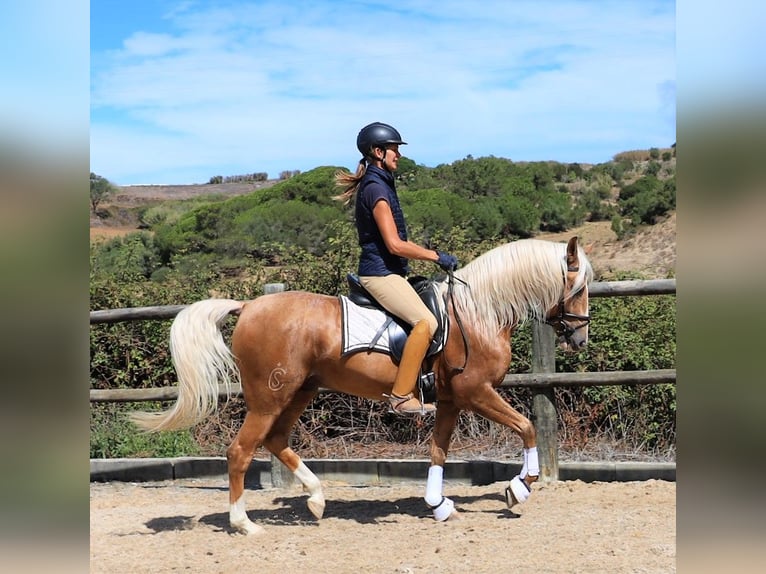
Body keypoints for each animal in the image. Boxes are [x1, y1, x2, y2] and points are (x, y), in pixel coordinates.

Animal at [134, 236, 592, 536]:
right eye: (580, 286)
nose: (581, 338)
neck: (479, 314)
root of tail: (248, 306)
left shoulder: (450, 401)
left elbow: (438, 452)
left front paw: (439, 506)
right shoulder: (476, 392)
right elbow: (527, 427)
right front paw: (520, 488)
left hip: (300, 391)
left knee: (276, 440)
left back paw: (316, 498)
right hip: (269, 397)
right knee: (240, 451)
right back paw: (244, 523)